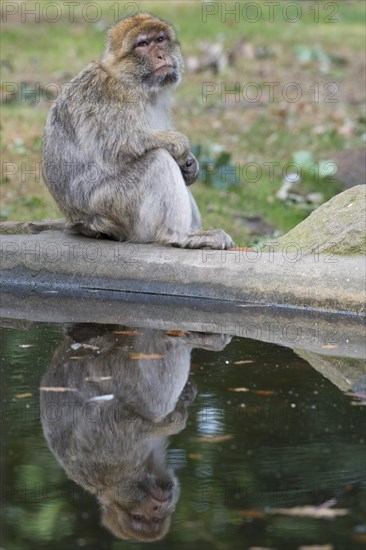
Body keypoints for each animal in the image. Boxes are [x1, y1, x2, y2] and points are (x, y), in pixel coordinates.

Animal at [40, 12, 234, 250]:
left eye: (159, 39)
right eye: (143, 44)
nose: (161, 55)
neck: (135, 85)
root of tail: (82, 224)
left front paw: (190, 165)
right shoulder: (112, 97)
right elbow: (122, 144)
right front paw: (180, 144)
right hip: (115, 207)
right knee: (158, 159)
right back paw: (180, 235)